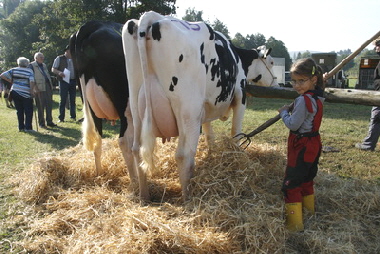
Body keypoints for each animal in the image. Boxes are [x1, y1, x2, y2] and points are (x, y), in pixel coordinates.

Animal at [70, 20, 137, 183]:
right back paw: (136, 182)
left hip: (90, 106)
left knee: (97, 140)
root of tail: (91, 25)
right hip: (126, 104)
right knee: (125, 141)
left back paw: (99, 174)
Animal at [123, 11, 278, 201]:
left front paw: (212, 155)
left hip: (137, 106)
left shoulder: (206, 108)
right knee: (184, 155)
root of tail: (152, 17)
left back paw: (144, 197)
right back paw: (188, 197)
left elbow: (209, 135)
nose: (276, 83)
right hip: (188, 110)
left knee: (137, 150)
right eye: (271, 62)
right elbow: (236, 134)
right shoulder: (240, 96)